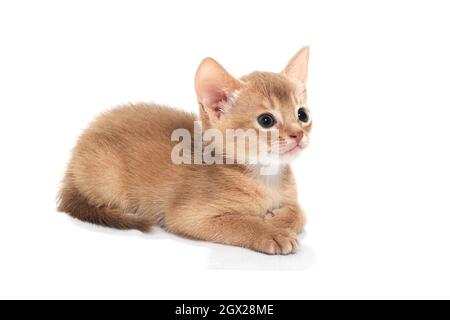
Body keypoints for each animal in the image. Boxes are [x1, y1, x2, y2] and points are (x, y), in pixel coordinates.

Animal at [58, 47, 312, 255]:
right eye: (266, 120)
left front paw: (280, 219)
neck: (267, 178)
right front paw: (271, 232)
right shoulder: (189, 216)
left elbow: (301, 213)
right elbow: (241, 222)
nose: (298, 134)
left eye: (302, 115)